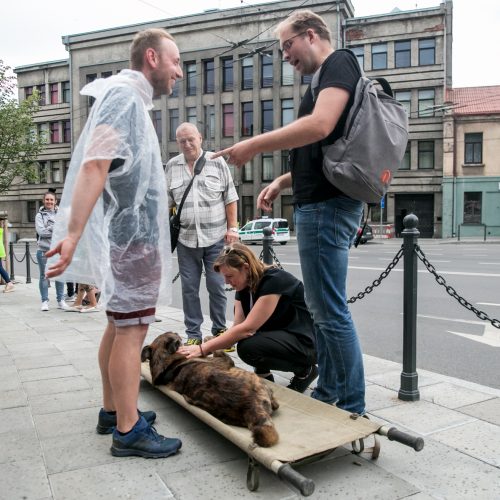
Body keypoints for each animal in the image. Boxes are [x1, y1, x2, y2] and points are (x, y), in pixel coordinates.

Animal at [141, 332, 280, 446]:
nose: (177, 333)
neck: (167, 363)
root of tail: (251, 405)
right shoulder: (225, 360)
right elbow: (216, 348)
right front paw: (209, 340)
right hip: (258, 381)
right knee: (276, 404)